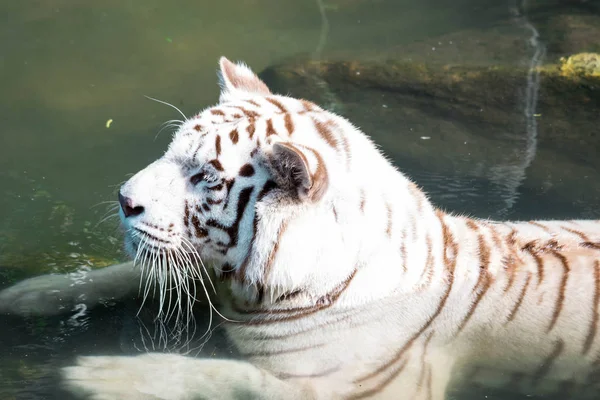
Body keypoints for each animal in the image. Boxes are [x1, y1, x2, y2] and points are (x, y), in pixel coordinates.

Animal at [1, 57, 600, 400]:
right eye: (172, 151)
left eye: (204, 176)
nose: (124, 199)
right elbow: (121, 273)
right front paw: (27, 294)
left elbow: (226, 377)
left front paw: (99, 376)